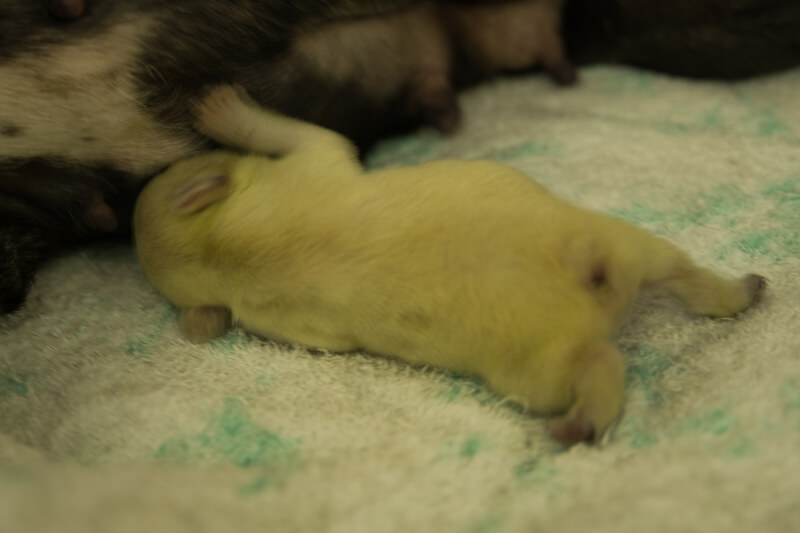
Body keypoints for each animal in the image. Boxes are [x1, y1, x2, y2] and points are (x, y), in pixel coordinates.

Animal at [134, 86, 764, 444]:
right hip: (550, 355)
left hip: (613, 246)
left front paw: (219, 109)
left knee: (676, 276)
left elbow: (302, 131)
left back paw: (740, 291)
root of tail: (592, 281)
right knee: (613, 351)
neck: (217, 248)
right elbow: (307, 133)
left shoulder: (310, 161)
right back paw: (589, 416)